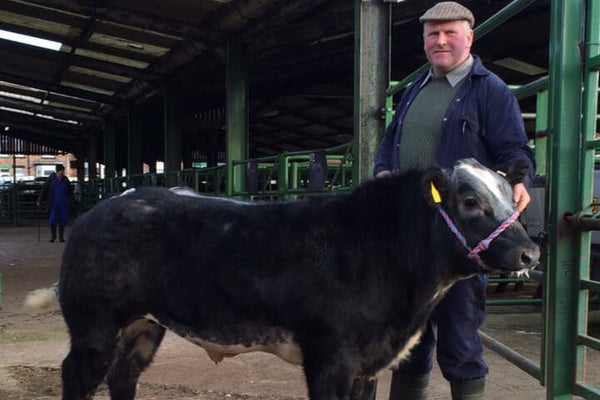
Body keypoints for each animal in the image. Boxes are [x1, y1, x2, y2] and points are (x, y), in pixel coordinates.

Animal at [28, 158, 540, 400]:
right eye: (470, 202)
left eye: (507, 195)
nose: (530, 251)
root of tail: (105, 207)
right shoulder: (330, 358)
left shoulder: (369, 365)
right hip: (93, 323)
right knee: (78, 376)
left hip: (144, 324)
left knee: (123, 375)